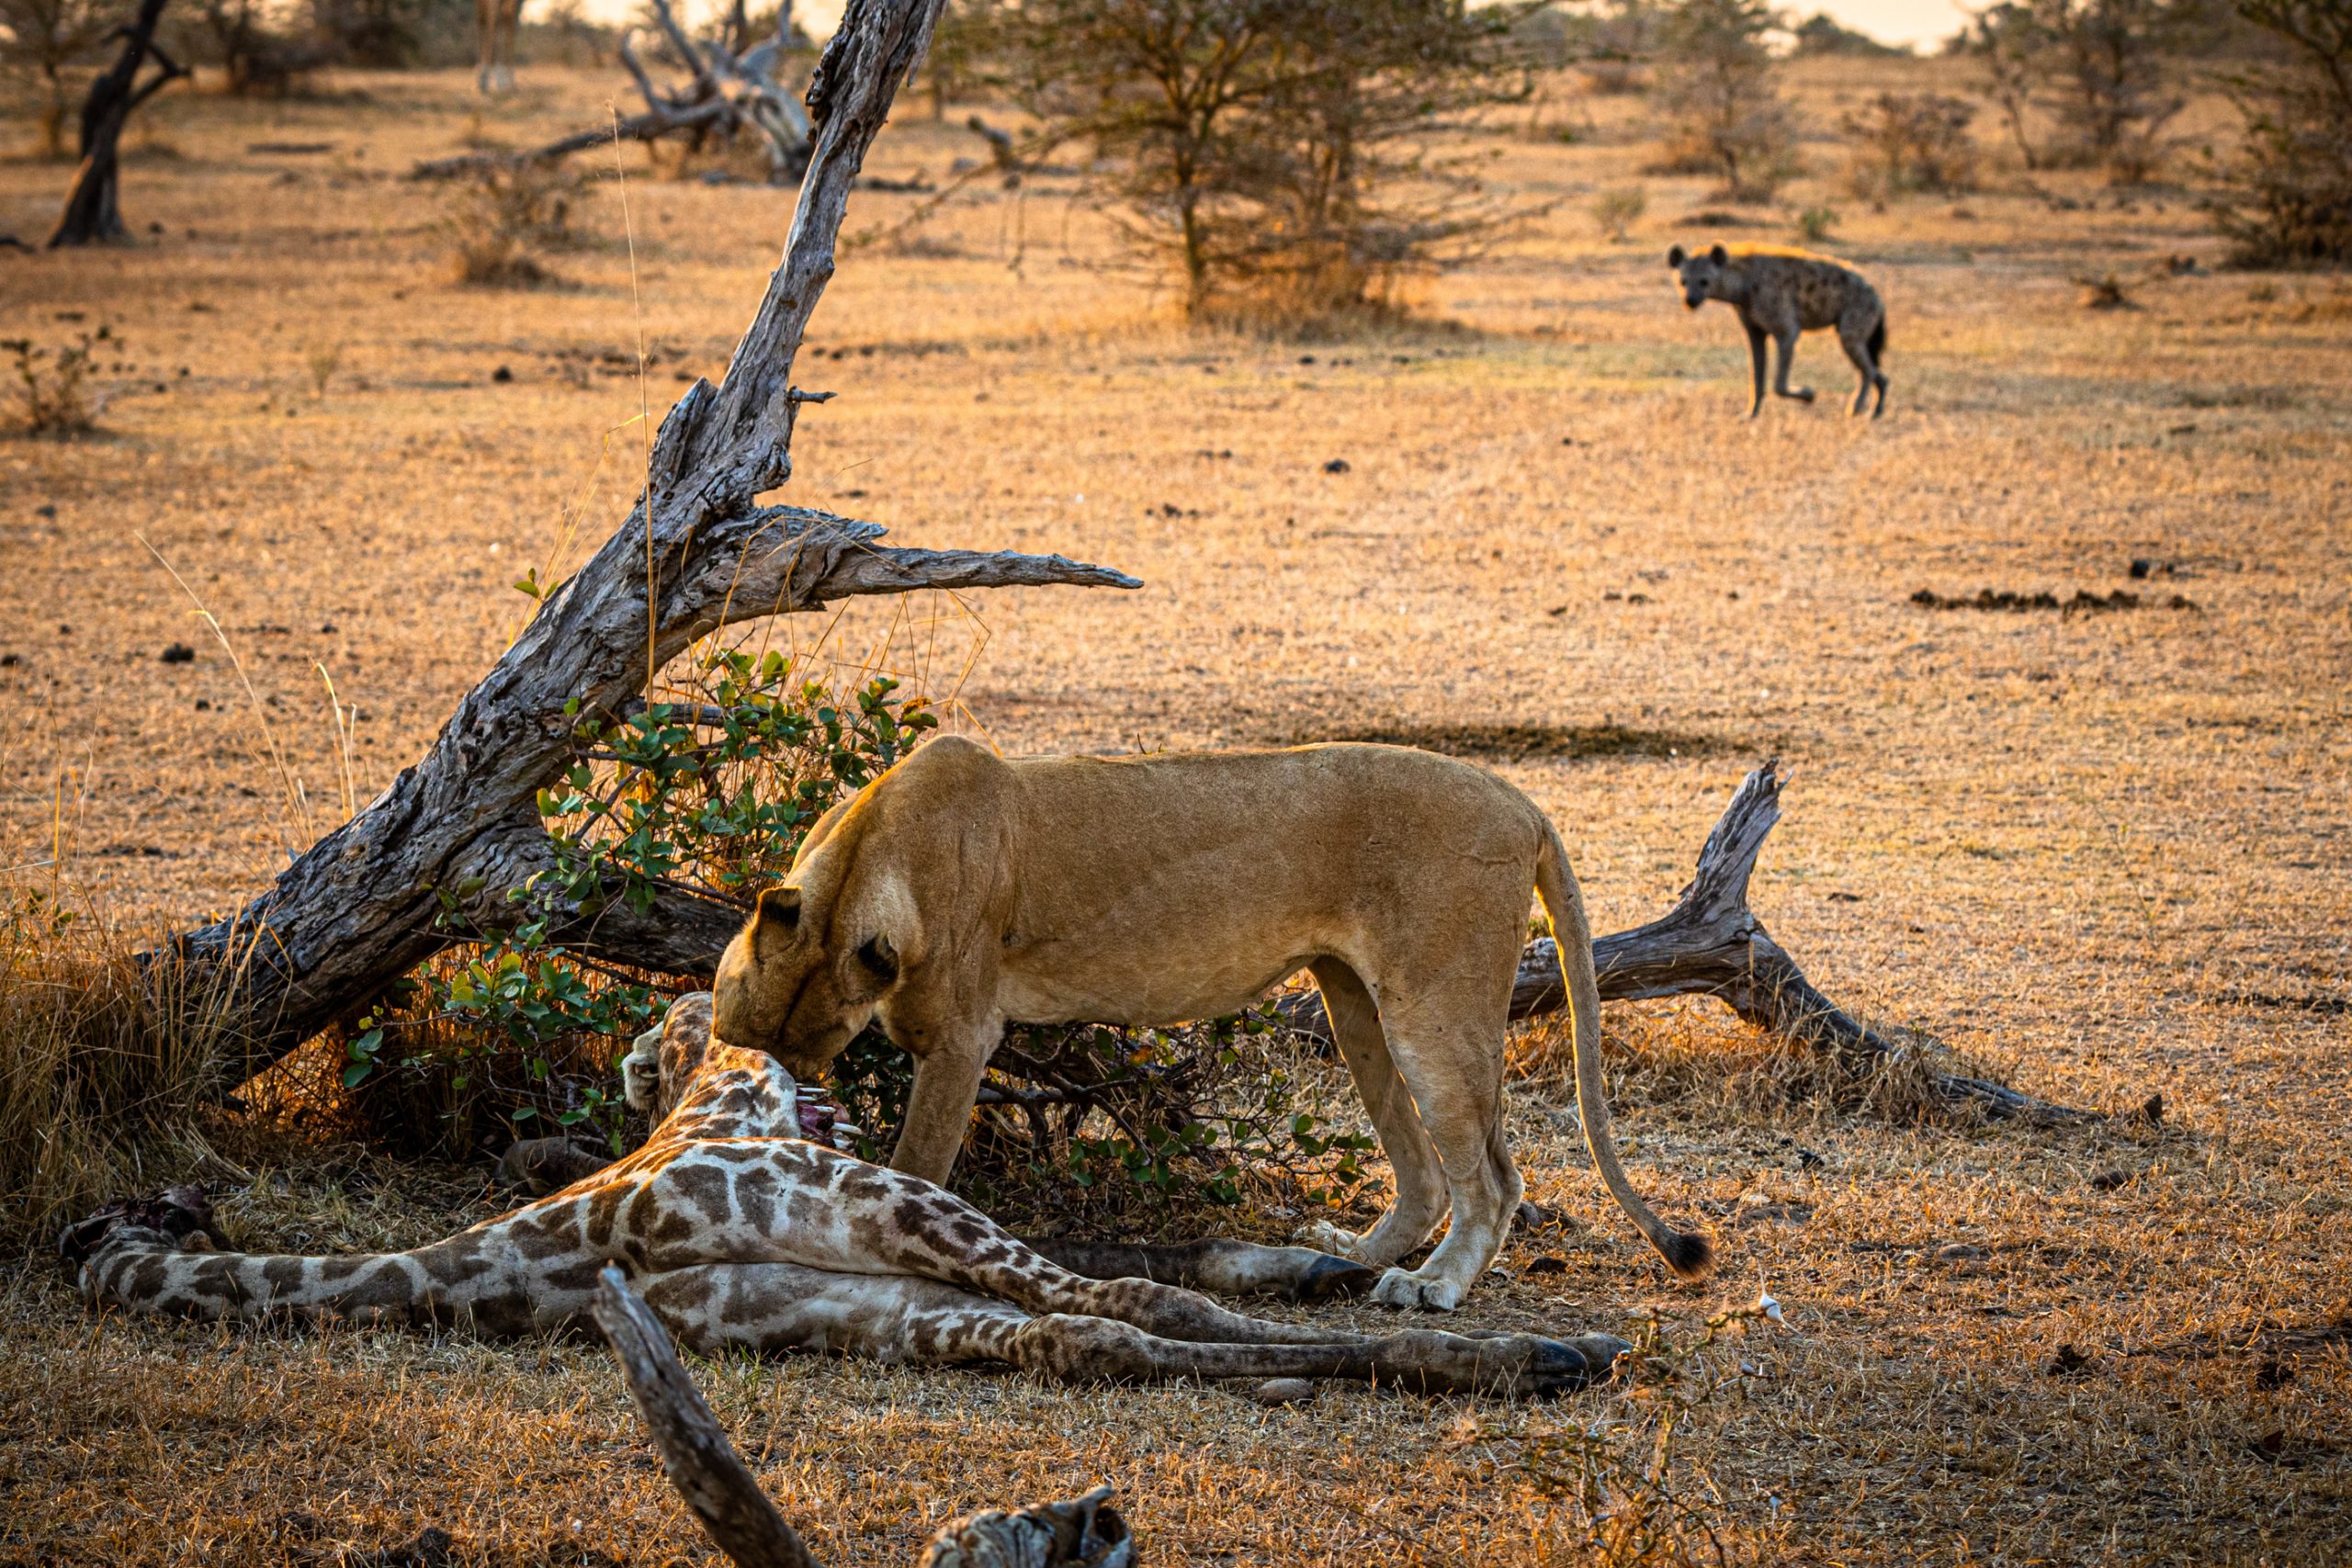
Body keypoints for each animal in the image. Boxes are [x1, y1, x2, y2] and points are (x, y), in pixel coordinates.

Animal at [62, 995, 1629, 1398]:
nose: (824, 1072)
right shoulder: (881, 1197)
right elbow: (1146, 1276)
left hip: (839, 1303)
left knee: (1085, 1335)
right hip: (887, 1237)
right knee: (1115, 1303)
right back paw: (1543, 1349)